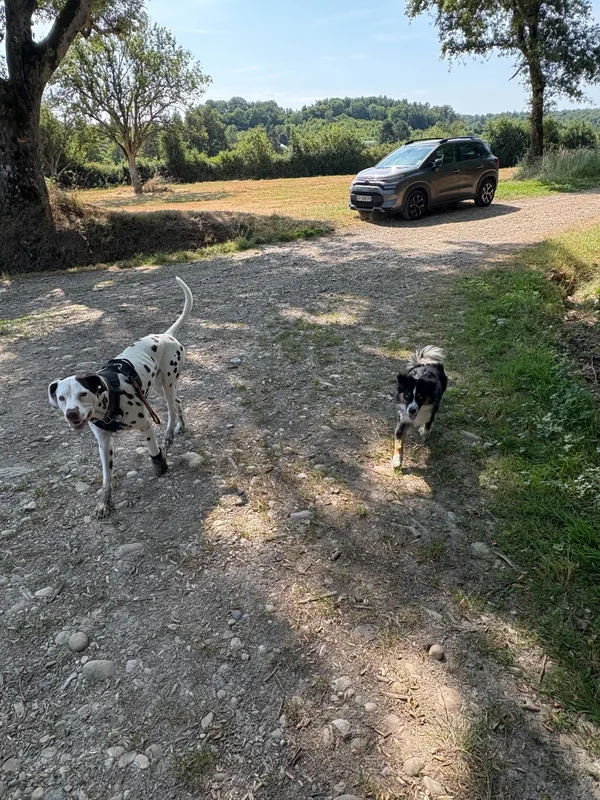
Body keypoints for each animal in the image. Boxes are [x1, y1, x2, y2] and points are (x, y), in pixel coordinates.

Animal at [48, 276, 194, 518]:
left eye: (83, 393)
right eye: (61, 398)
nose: (72, 414)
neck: (110, 399)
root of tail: (166, 335)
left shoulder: (145, 425)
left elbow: (154, 452)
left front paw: (161, 466)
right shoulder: (104, 444)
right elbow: (107, 479)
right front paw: (105, 503)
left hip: (168, 384)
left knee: (171, 410)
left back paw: (169, 435)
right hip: (158, 386)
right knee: (178, 403)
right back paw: (180, 427)